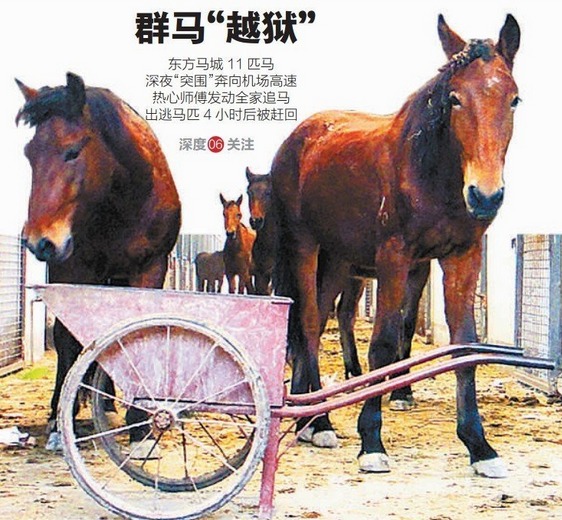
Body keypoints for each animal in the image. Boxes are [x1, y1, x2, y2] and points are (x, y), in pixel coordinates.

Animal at [16, 72, 181, 451]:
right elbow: (66, 339)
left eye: (73, 150)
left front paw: (140, 425)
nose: (39, 241)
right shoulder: (72, 269)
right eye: (29, 154)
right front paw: (59, 422)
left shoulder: (150, 268)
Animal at [271, 14, 520, 477]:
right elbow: (384, 342)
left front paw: (480, 446)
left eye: (513, 99)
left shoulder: (462, 257)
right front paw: (372, 441)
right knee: (311, 325)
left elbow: (465, 344)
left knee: (320, 319)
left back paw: (310, 423)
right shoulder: (394, 257)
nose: (485, 196)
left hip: (338, 260)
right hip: (305, 248)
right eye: (455, 99)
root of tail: (298, 139)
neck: (430, 173)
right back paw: (322, 422)